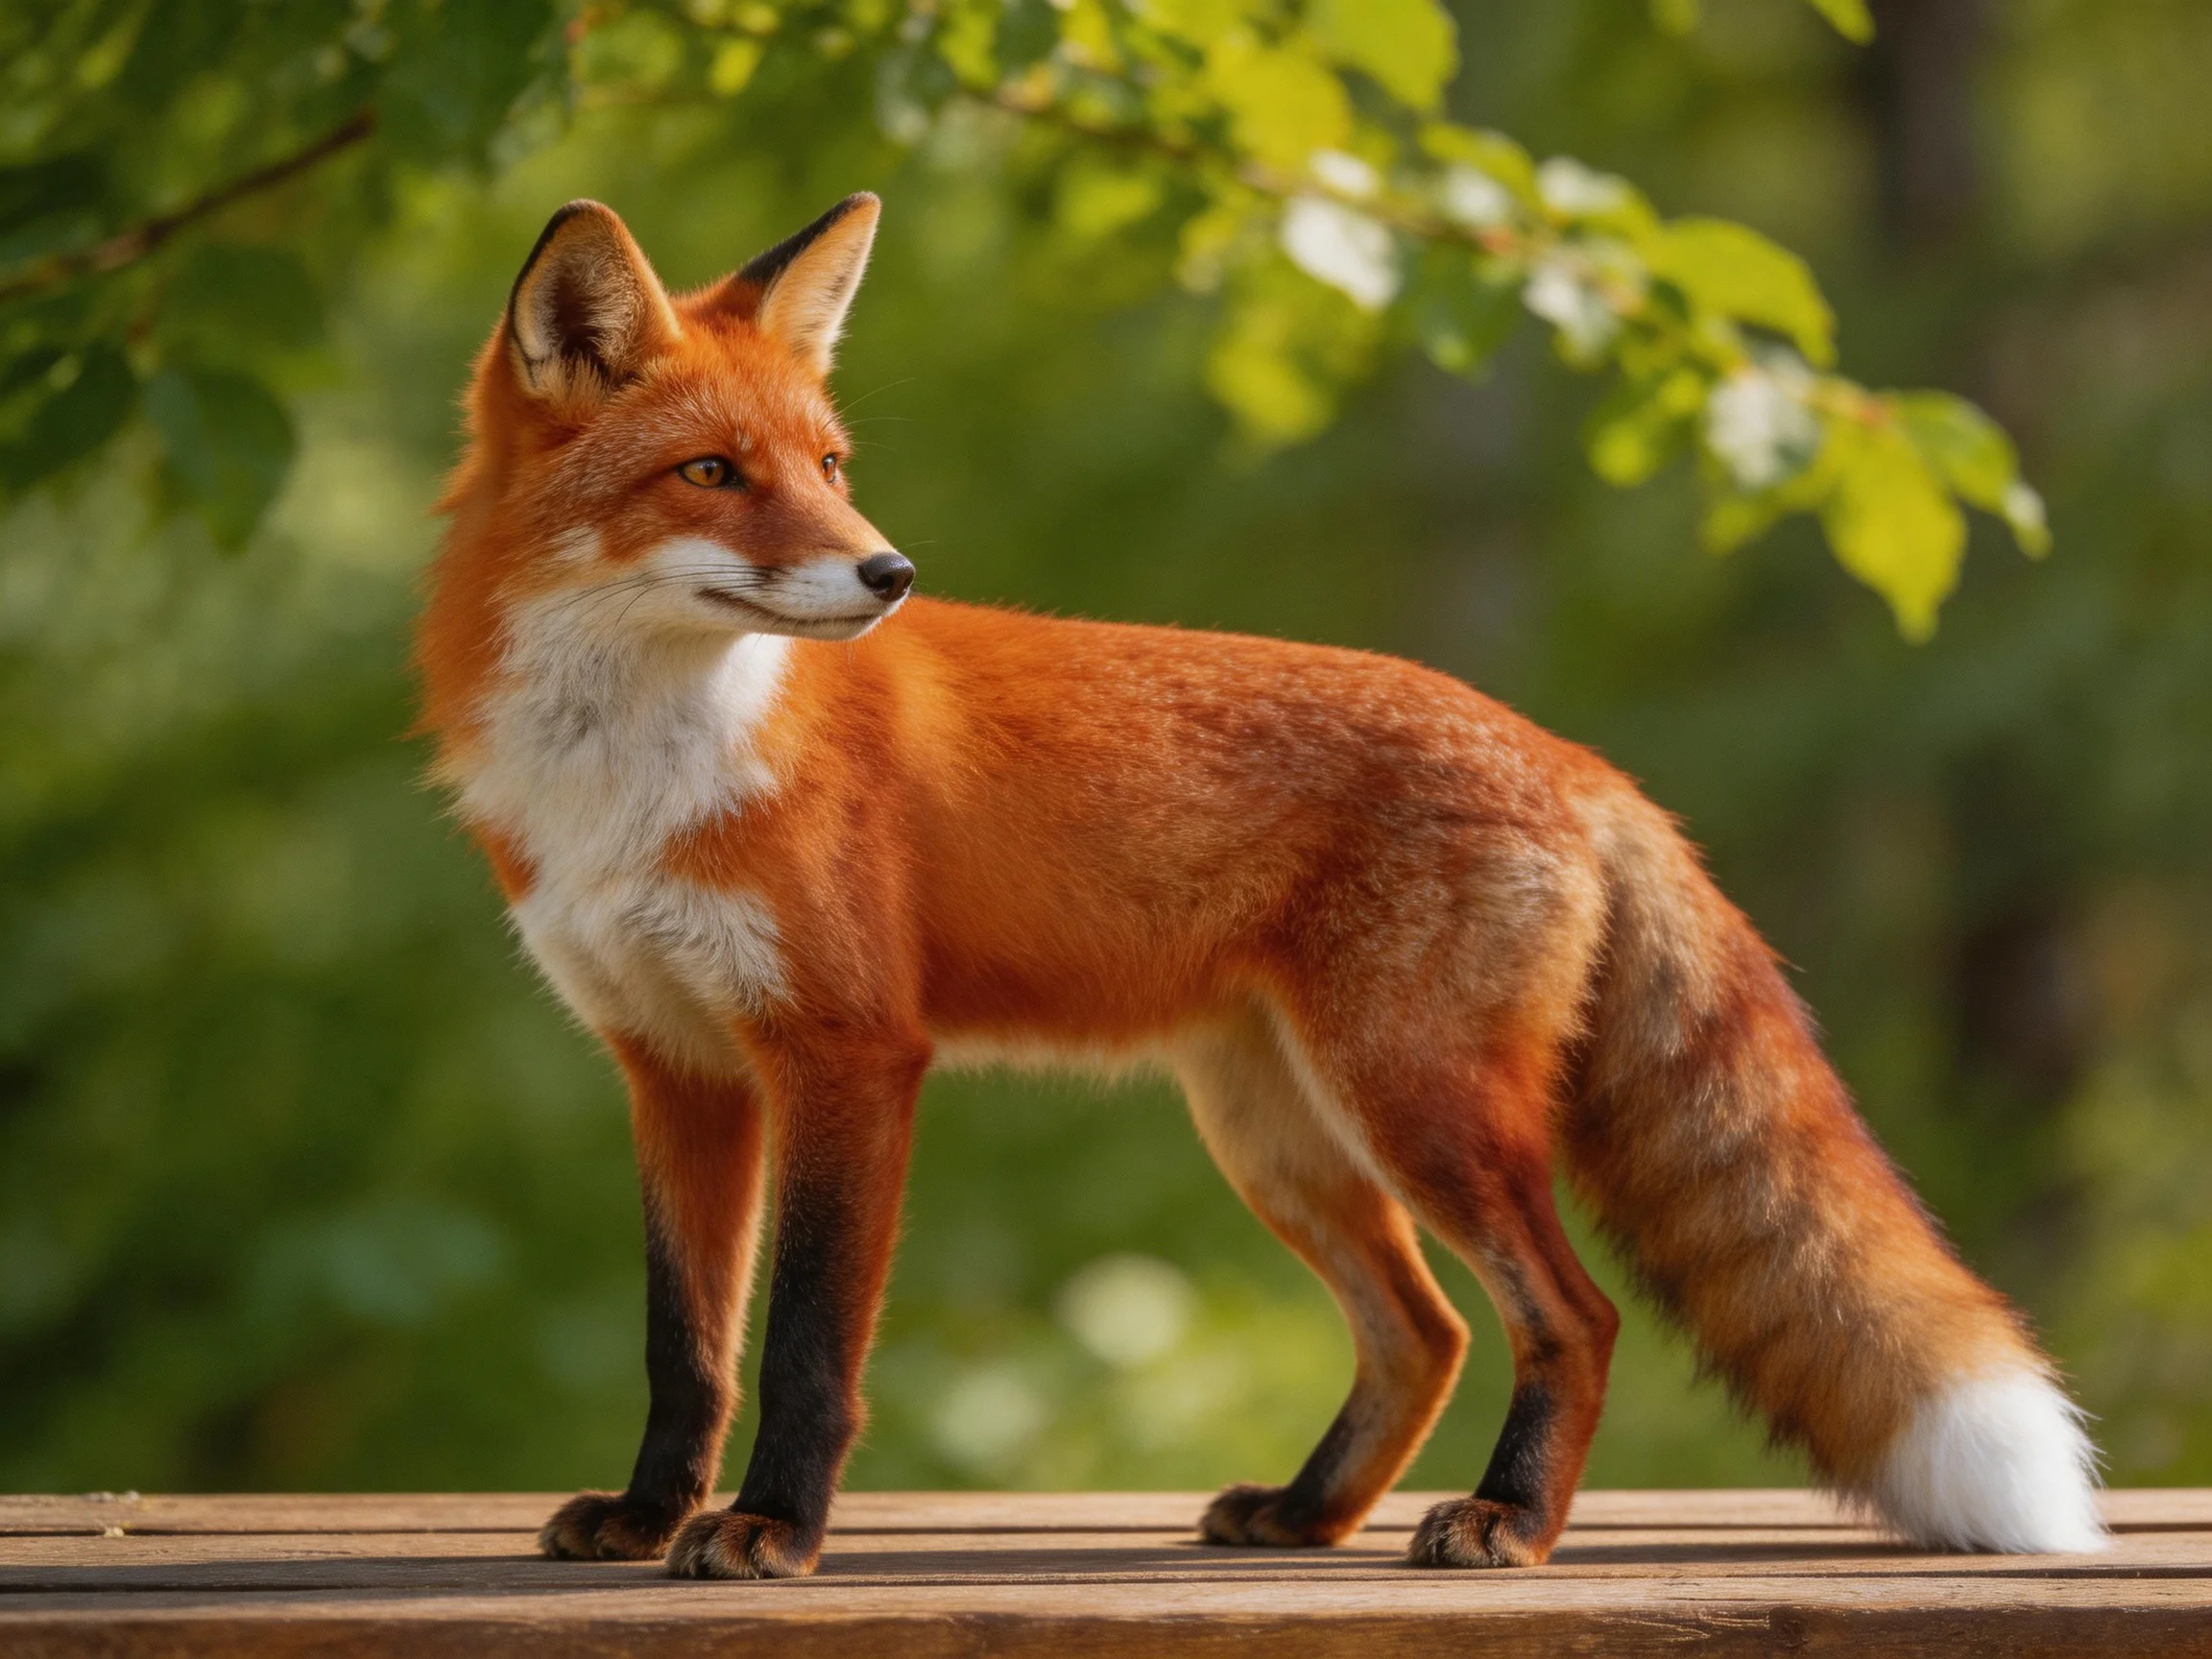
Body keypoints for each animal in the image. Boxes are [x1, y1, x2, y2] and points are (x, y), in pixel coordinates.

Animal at [416, 192, 2106, 1580]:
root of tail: (1569, 754)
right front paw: (651, 1517)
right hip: (1277, 1132)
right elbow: (685, 1346)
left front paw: (773, 1529)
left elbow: (808, 1346)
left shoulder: (851, 1056)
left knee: (1572, 1314)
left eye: (830, 470)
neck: (642, 772)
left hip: (1417, 1104)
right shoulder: (679, 1069)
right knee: (1424, 1331)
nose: (890, 574)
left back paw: (1508, 1520)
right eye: (713, 473)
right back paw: (1309, 1512)